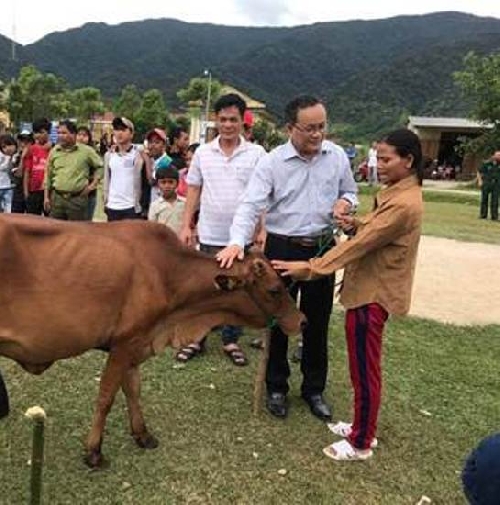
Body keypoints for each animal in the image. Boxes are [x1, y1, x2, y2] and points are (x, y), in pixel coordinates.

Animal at [0, 213, 304, 464]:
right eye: (275, 289)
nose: (302, 320)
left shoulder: (135, 342)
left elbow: (133, 390)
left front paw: (142, 434)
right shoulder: (124, 344)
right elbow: (106, 397)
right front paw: (93, 451)